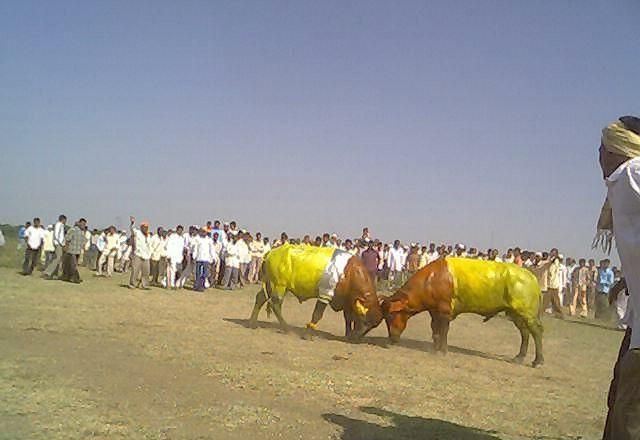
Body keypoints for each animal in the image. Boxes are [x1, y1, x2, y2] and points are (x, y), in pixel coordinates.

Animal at [248, 244, 382, 340]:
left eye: (372, 326)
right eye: (365, 321)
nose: (355, 338)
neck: (349, 272)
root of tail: (270, 253)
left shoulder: (347, 301)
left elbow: (348, 318)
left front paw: (347, 334)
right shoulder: (325, 294)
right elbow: (317, 314)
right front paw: (308, 334)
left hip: (272, 284)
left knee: (260, 298)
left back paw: (252, 323)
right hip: (279, 285)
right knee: (275, 304)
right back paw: (286, 328)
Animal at [382, 258, 544, 368]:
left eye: (391, 315)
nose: (391, 340)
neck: (431, 280)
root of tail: (532, 277)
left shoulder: (445, 311)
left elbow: (443, 331)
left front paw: (443, 350)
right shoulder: (434, 311)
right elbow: (435, 330)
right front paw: (435, 348)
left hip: (527, 313)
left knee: (536, 331)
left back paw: (538, 361)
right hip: (515, 313)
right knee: (525, 333)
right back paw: (519, 357)